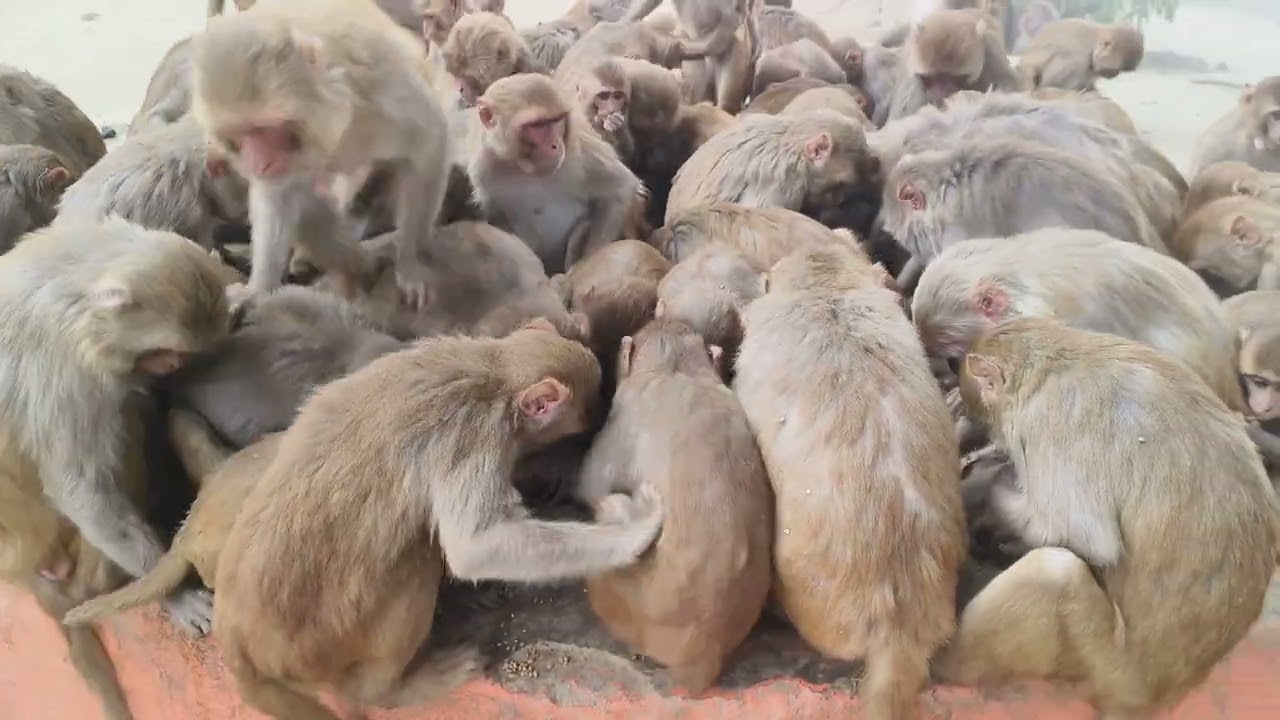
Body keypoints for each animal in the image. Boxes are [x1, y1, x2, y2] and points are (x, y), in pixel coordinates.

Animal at [192, 0, 451, 308]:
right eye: (240, 134)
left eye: (264, 128)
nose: (259, 164)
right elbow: (278, 197)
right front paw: (258, 289)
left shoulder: (389, 93)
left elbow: (429, 148)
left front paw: (411, 263)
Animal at [213, 322, 663, 720]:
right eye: (586, 411)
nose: (595, 417)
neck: (491, 368)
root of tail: (238, 645)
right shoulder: (474, 434)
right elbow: (476, 545)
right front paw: (633, 531)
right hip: (328, 641)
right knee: (417, 562)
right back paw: (387, 691)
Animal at [470, 73, 643, 275]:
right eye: (536, 125)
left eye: (556, 120)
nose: (555, 145)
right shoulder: (483, 167)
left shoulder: (580, 152)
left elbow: (620, 188)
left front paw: (588, 264)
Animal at [578, 317, 772, 693]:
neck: (676, 370)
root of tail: (704, 659)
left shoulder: (624, 414)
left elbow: (589, 485)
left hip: (625, 603)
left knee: (610, 511)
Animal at [936, 318, 1280, 719]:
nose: (978, 428)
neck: (1047, 369)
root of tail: (1157, 694)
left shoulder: (1048, 423)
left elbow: (1085, 536)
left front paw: (990, 486)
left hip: (1101, 662)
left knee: (1054, 567)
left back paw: (943, 660)